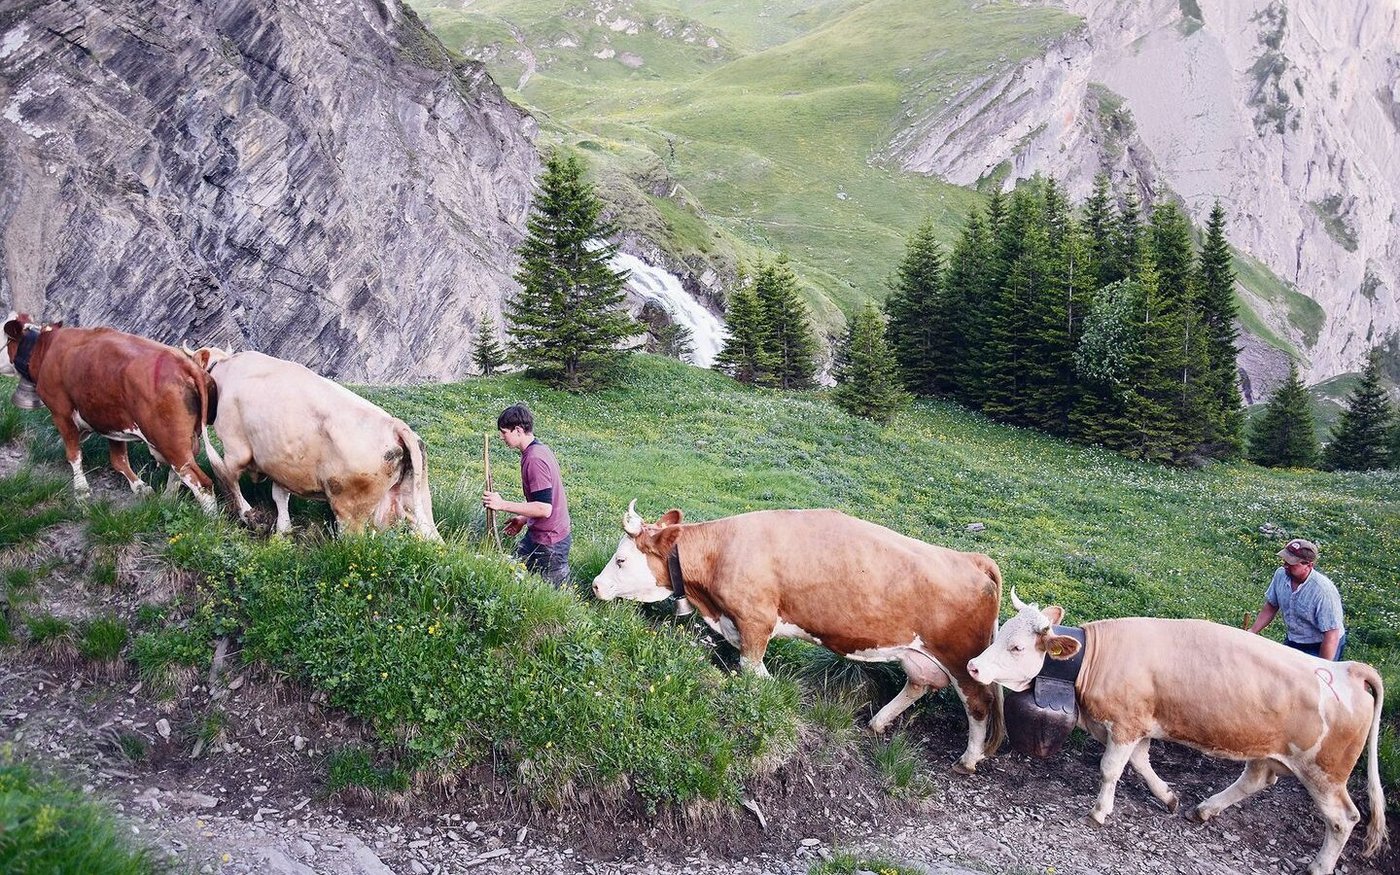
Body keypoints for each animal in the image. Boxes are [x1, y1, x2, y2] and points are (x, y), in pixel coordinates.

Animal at [2, 316, 218, 512]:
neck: (45, 348)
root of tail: (186, 364)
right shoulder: (111, 421)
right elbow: (118, 460)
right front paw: (141, 488)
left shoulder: (61, 412)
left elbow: (74, 455)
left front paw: (82, 493)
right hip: (181, 440)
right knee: (179, 473)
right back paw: (166, 500)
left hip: (170, 440)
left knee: (200, 482)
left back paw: (210, 520)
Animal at [187, 347, 439, 540]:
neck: (226, 370)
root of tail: (394, 425)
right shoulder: (281, 463)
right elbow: (280, 496)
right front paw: (283, 531)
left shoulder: (235, 449)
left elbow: (228, 479)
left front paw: (248, 517)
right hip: (416, 503)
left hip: (350, 509)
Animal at [591, 501, 1005, 773]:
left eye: (622, 560)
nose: (595, 585)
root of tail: (971, 558)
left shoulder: (754, 622)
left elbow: (754, 672)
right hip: (918, 654)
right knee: (919, 683)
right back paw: (877, 722)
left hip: (962, 659)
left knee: (978, 704)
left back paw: (969, 758)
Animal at [966, 592, 1387, 875]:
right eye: (1000, 633)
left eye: (1016, 646)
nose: (972, 666)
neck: (1094, 661)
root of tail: (1350, 669)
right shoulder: (1139, 724)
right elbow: (1140, 762)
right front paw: (1168, 797)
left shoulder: (1126, 724)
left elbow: (1110, 769)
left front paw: (1100, 811)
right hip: (1268, 750)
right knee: (1256, 778)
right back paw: (1204, 809)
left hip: (1325, 771)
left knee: (1343, 818)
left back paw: (1319, 865)